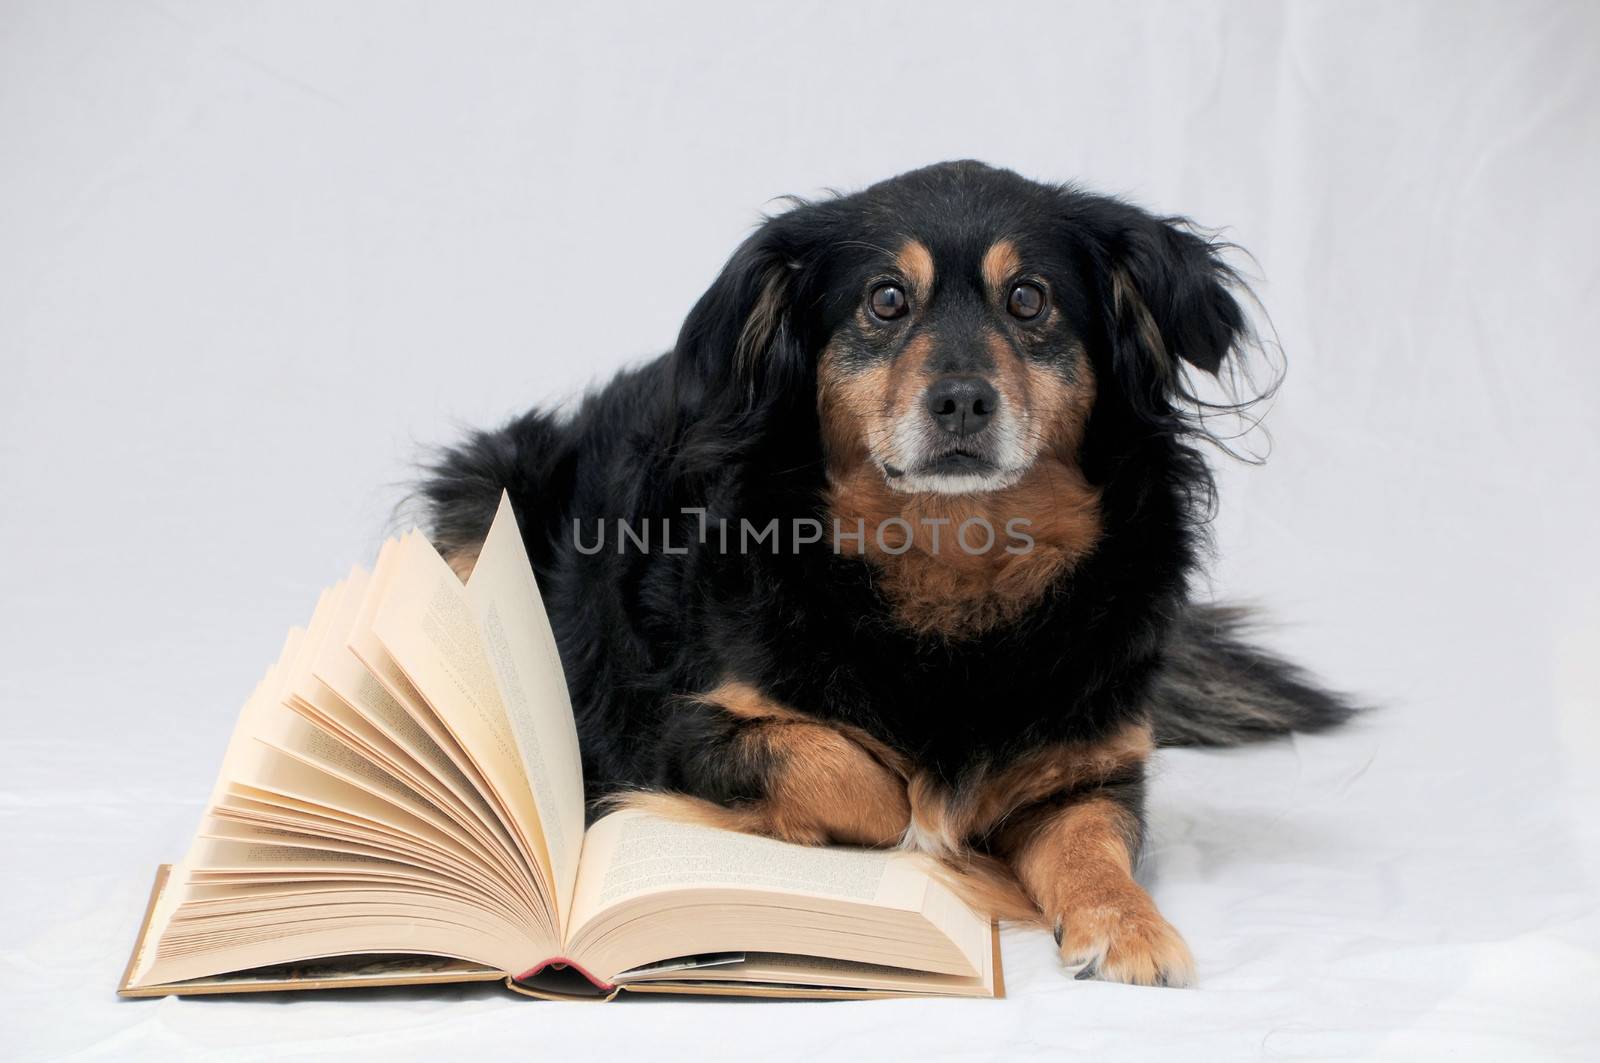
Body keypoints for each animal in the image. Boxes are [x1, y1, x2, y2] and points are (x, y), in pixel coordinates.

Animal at [419, 160, 1356, 986]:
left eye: (1029, 298)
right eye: (886, 299)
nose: (963, 400)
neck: (954, 566)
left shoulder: (1092, 767)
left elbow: (1094, 846)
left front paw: (1129, 925)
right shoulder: (672, 726)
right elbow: (857, 778)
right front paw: (931, 842)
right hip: (484, 490)